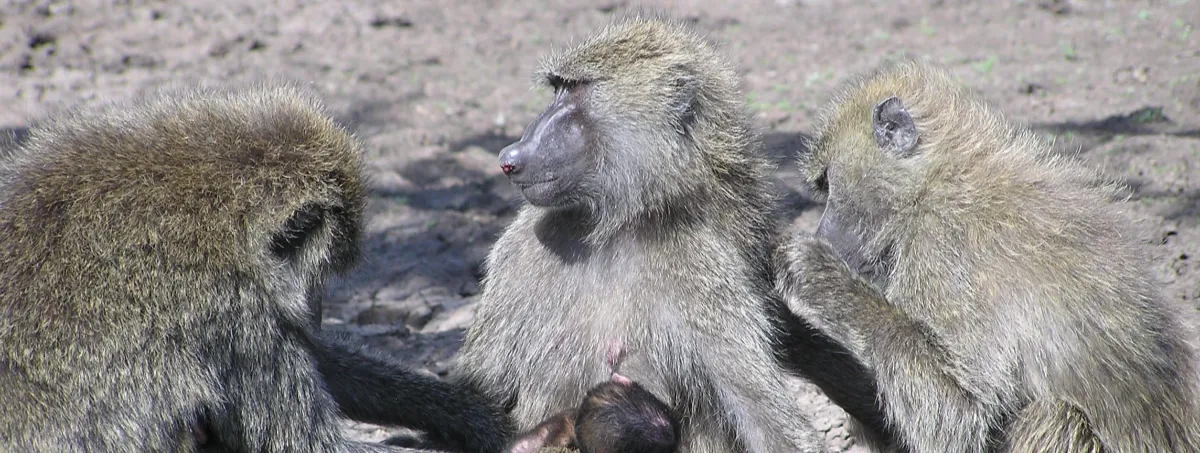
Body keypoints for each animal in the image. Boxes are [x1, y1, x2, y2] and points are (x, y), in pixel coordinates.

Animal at [0, 84, 509, 453]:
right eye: (324, 274)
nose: (316, 312)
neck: (218, 213)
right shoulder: (235, 311)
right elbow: (313, 444)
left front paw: (469, 415)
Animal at [452, 14, 831, 453]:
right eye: (558, 90)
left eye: (576, 91)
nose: (509, 158)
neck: (613, 230)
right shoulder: (522, 246)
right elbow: (481, 393)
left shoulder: (706, 267)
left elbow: (765, 420)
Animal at [775, 59, 1200, 453]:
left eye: (827, 184)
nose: (822, 233)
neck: (936, 180)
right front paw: (793, 338)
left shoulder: (941, 247)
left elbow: (959, 416)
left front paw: (821, 276)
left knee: (1052, 416)